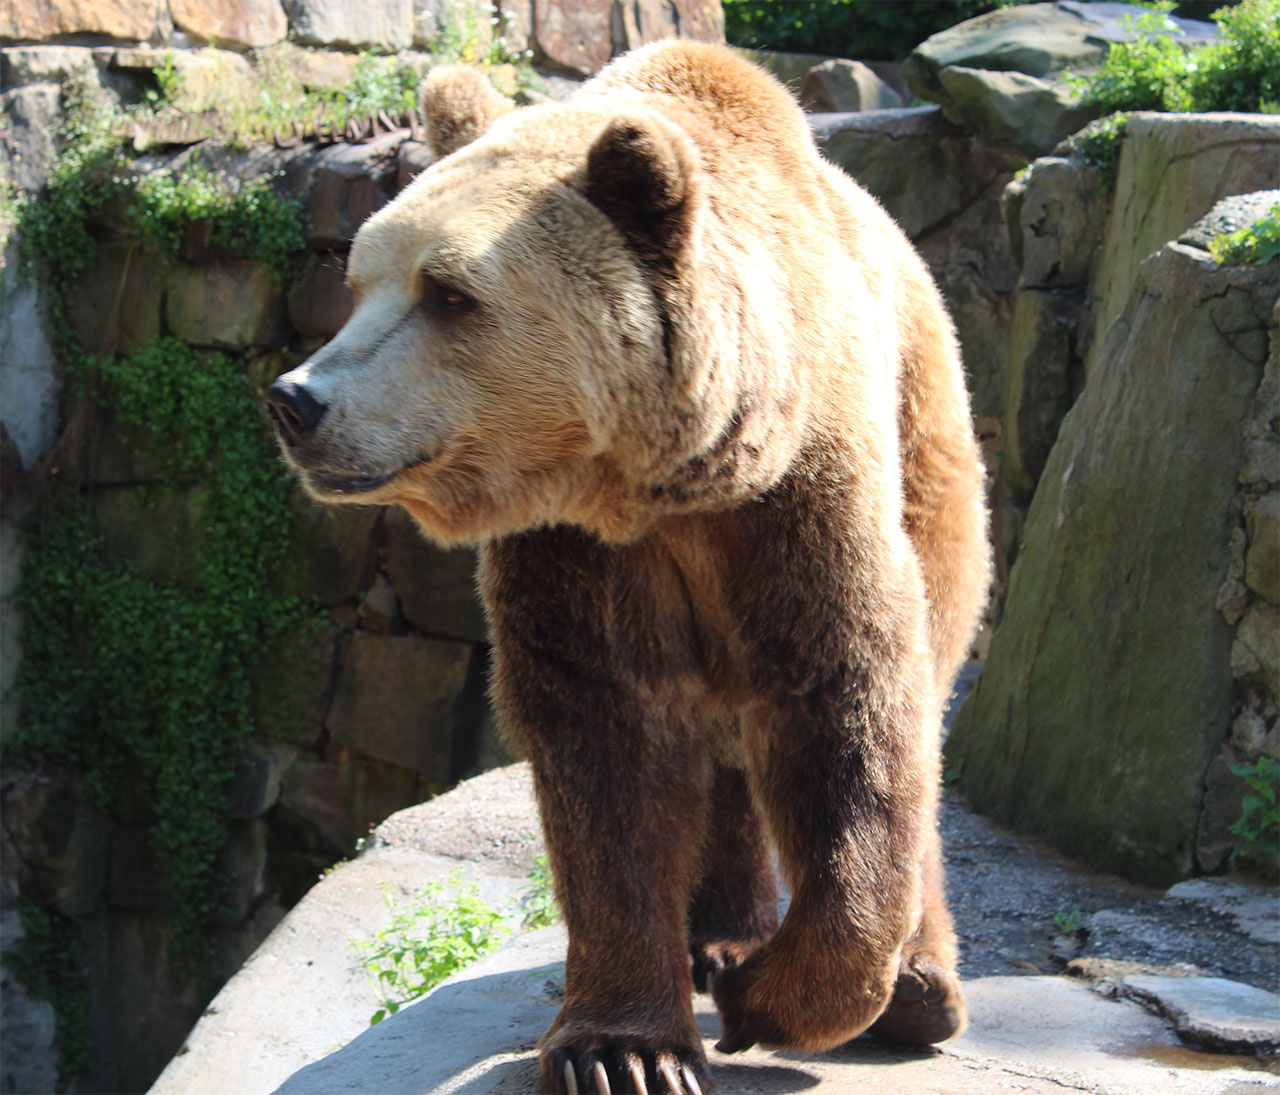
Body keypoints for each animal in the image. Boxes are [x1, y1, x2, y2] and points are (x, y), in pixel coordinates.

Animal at [266, 41, 990, 1095]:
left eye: (449, 293)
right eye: (360, 282)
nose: (297, 400)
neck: (672, 480)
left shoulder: (800, 494)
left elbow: (845, 699)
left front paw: (772, 999)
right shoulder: (578, 547)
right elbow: (608, 738)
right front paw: (626, 1049)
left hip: (930, 439)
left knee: (922, 681)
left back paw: (916, 987)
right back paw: (724, 934)